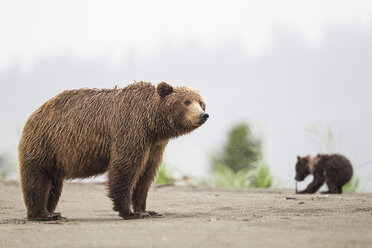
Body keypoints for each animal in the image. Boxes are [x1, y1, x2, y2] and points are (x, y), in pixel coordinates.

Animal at [18, 82, 209, 221]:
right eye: (186, 101)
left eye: (201, 102)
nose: (203, 115)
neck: (152, 124)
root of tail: (34, 113)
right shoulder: (131, 129)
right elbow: (125, 167)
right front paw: (129, 212)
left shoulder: (154, 146)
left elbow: (146, 175)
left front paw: (146, 210)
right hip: (45, 144)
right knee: (38, 179)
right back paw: (42, 214)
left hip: (55, 157)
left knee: (54, 185)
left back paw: (53, 212)